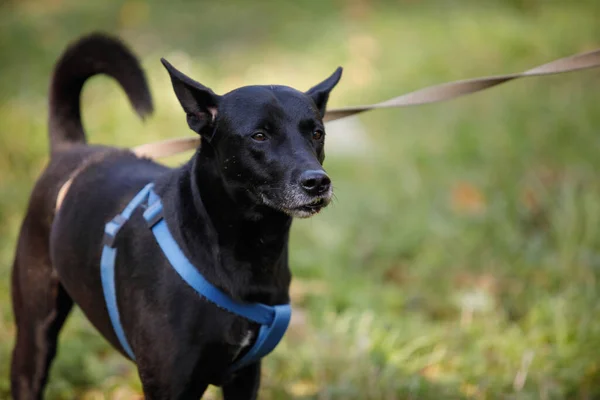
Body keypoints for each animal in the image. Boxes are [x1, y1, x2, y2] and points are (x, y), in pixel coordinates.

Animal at [9, 32, 340, 398]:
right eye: (259, 135)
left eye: (317, 133)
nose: (317, 182)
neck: (247, 248)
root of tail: (73, 149)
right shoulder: (170, 383)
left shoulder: (245, 377)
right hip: (35, 337)